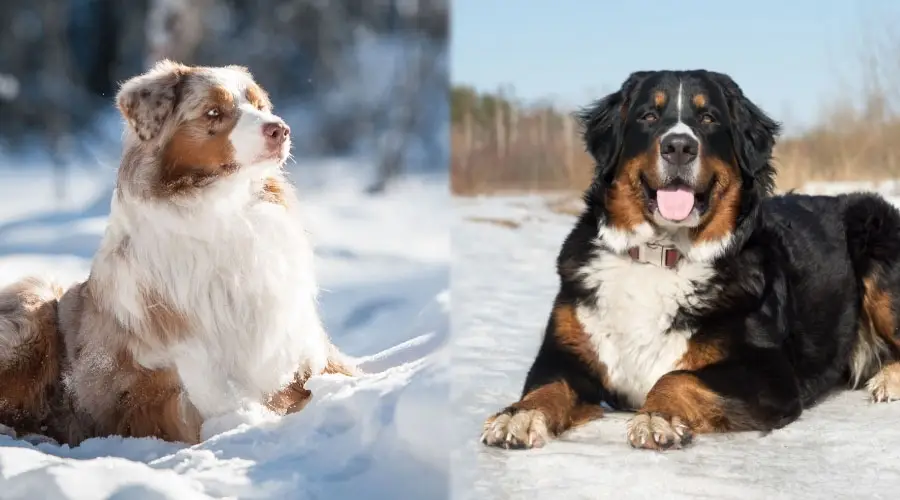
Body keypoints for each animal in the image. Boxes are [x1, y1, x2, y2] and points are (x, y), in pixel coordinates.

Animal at [0, 60, 356, 448]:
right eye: (213, 112)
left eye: (260, 106)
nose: (280, 129)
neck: (225, 210)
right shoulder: (185, 380)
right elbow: (220, 408)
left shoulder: (301, 344)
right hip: (33, 305)